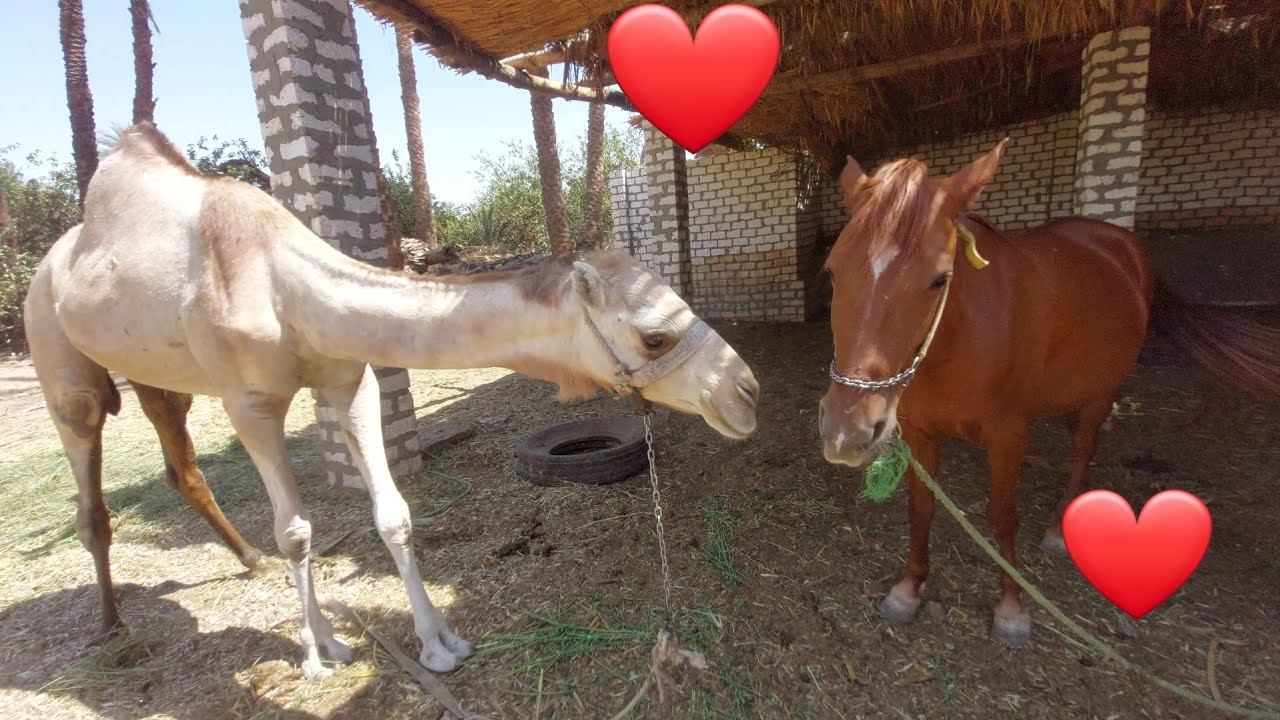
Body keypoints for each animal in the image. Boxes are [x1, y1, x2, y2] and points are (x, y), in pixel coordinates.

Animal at [23, 122, 760, 680]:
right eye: (655, 336)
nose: (746, 392)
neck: (287, 286)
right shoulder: (248, 401)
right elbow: (297, 530)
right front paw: (319, 653)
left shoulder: (349, 380)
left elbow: (395, 514)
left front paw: (439, 644)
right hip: (58, 357)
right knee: (90, 477)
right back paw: (111, 624)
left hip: (159, 377)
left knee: (180, 462)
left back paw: (245, 561)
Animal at [816, 139, 1280, 646]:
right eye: (832, 272)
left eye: (939, 279)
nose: (846, 431)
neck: (958, 339)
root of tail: (1121, 243)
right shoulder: (919, 433)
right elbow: (921, 510)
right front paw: (909, 588)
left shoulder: (1008, 437)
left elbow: (1003, 515)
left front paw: (1011, 607)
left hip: (1102, 392)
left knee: (1083, 449)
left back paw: (1061, 529)